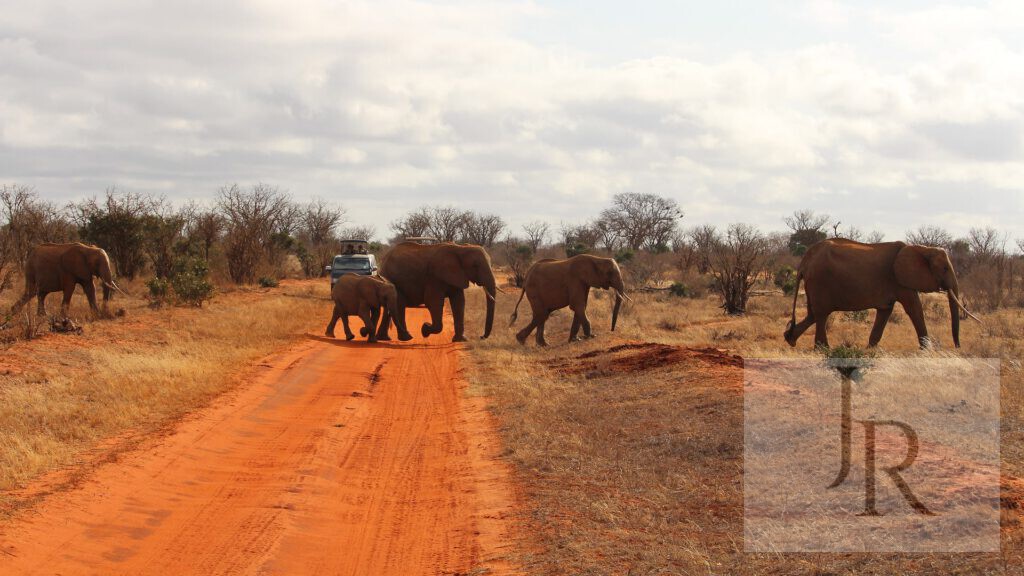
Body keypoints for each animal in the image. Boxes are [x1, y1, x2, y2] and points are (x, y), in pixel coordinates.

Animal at [783, 239, 978, 349]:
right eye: (944, 268)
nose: (957, 347)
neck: (922, 249)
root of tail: (805, 261)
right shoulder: (899, 279)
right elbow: (914, 308)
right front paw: (927, 350)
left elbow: (885, 311)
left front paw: (870, 349)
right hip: (820, 281)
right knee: (821, 314)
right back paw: (823, 349)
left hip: (813, 284)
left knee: (813, 314)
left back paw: (790, 339)